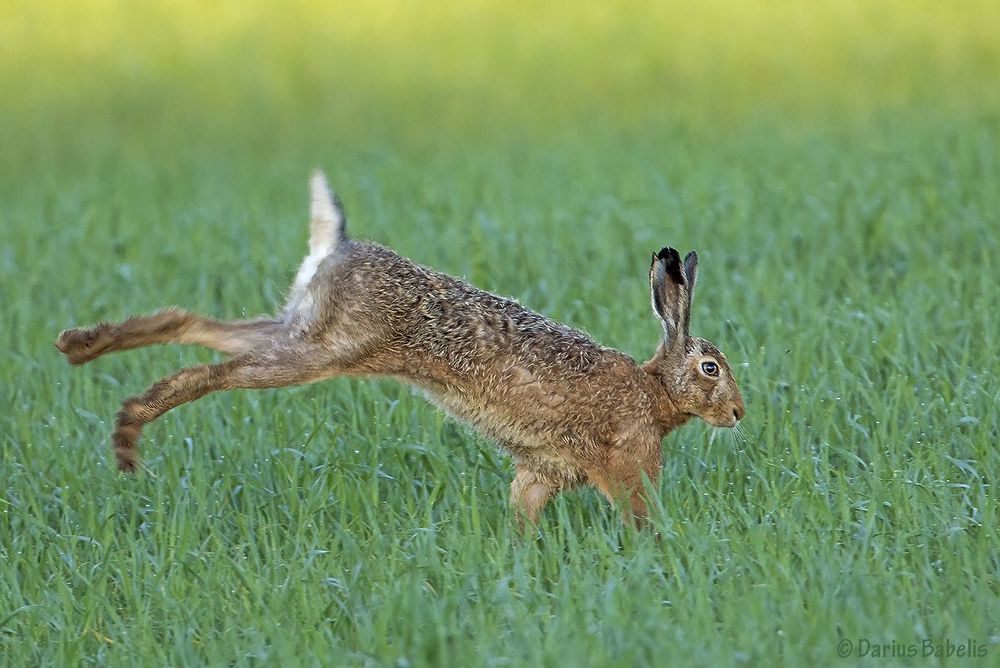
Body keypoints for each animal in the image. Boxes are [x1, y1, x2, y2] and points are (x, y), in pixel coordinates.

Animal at [55, 171, 745, 526]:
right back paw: (128, 432)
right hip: (318, 352)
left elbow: (522, 512)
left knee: (192, 323)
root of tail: (337, 246)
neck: (656, 393)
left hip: (300, 327)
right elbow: (638, 514)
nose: (739, 414)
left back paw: (81, 348)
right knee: (213, 371)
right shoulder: (627, 463)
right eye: (711, 367)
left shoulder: (540, 472)